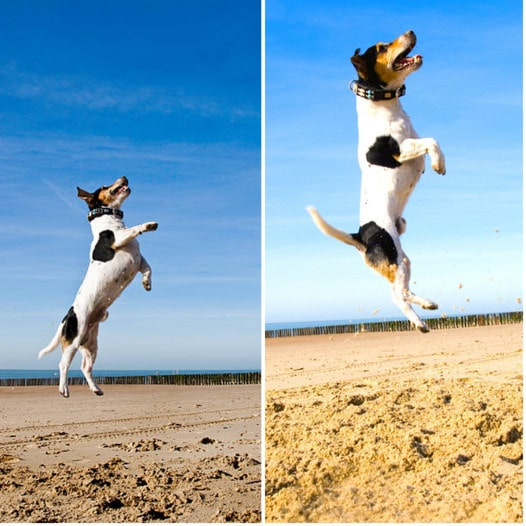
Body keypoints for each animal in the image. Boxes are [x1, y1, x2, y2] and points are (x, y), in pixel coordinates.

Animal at [38, 177, 158, 396]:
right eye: (104, 187)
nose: (125, 177)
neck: (109, 219)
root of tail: (67, 316)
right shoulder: (118, 239)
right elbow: (134, 229)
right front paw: (149, 224)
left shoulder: (139, 260)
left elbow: (148, 268)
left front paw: (147, 283)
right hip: (74, 340)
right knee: (63, 364)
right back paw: (63, 389)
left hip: (91, 345)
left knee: (85, 367)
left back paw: (96, 389)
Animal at [310, 31, 450, 332]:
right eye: (382, 48)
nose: (411, 31)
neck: (384, 104)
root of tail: (360, 235)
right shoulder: (401, 149)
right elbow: (431, 141)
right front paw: (438, 164)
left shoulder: (412, 140)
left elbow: (433, 140)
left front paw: (440, 162)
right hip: (393, 256)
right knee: (398, 295)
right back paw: (420, 321)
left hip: (401, 258)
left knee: (403, 291)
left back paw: (427, 305)